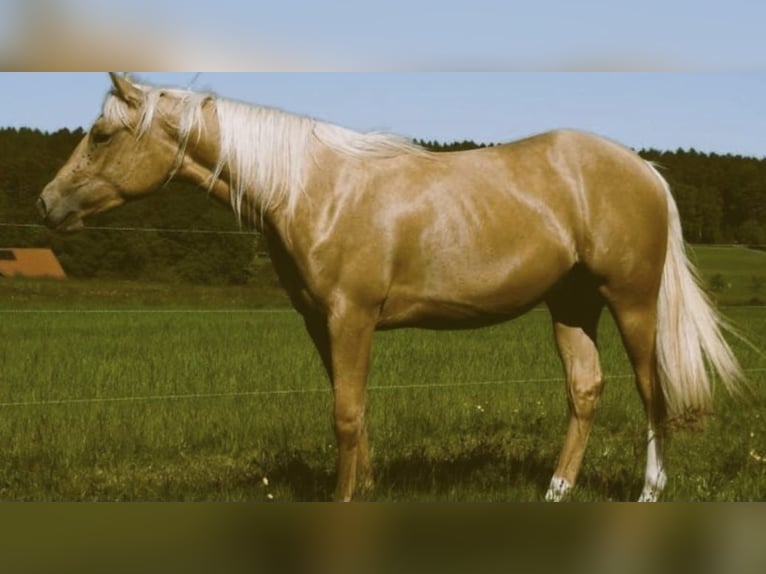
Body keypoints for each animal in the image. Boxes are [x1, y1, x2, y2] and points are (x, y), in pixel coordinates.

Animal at [36, 74, 744, 502]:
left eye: (101, 134)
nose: (47, 204)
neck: (312, 188)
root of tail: (643, 168)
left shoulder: (351, 317)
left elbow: (345, 415)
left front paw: (344, 499)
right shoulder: (322, 323)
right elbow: (354, 411)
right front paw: (367, 489)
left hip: (630, 301)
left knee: (652, 389)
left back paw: (649, 490)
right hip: (571, 304)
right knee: (586, 390)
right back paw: (555, 490)